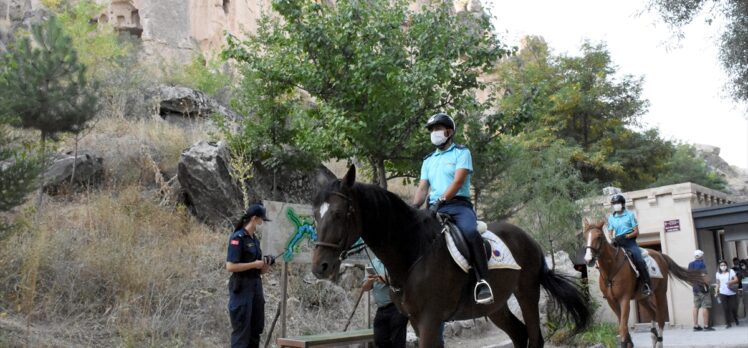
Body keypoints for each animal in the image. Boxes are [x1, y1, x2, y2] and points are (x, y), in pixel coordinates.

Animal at [310, 167, 592, 348]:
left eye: (339, 214)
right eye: (315, 214)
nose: (320, 267)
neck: (412, 253)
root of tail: (529, 238)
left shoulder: (430, 320)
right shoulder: (417, 321)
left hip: (527, 293)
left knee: (534, 338)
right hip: (496, 306)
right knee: (519, 335)